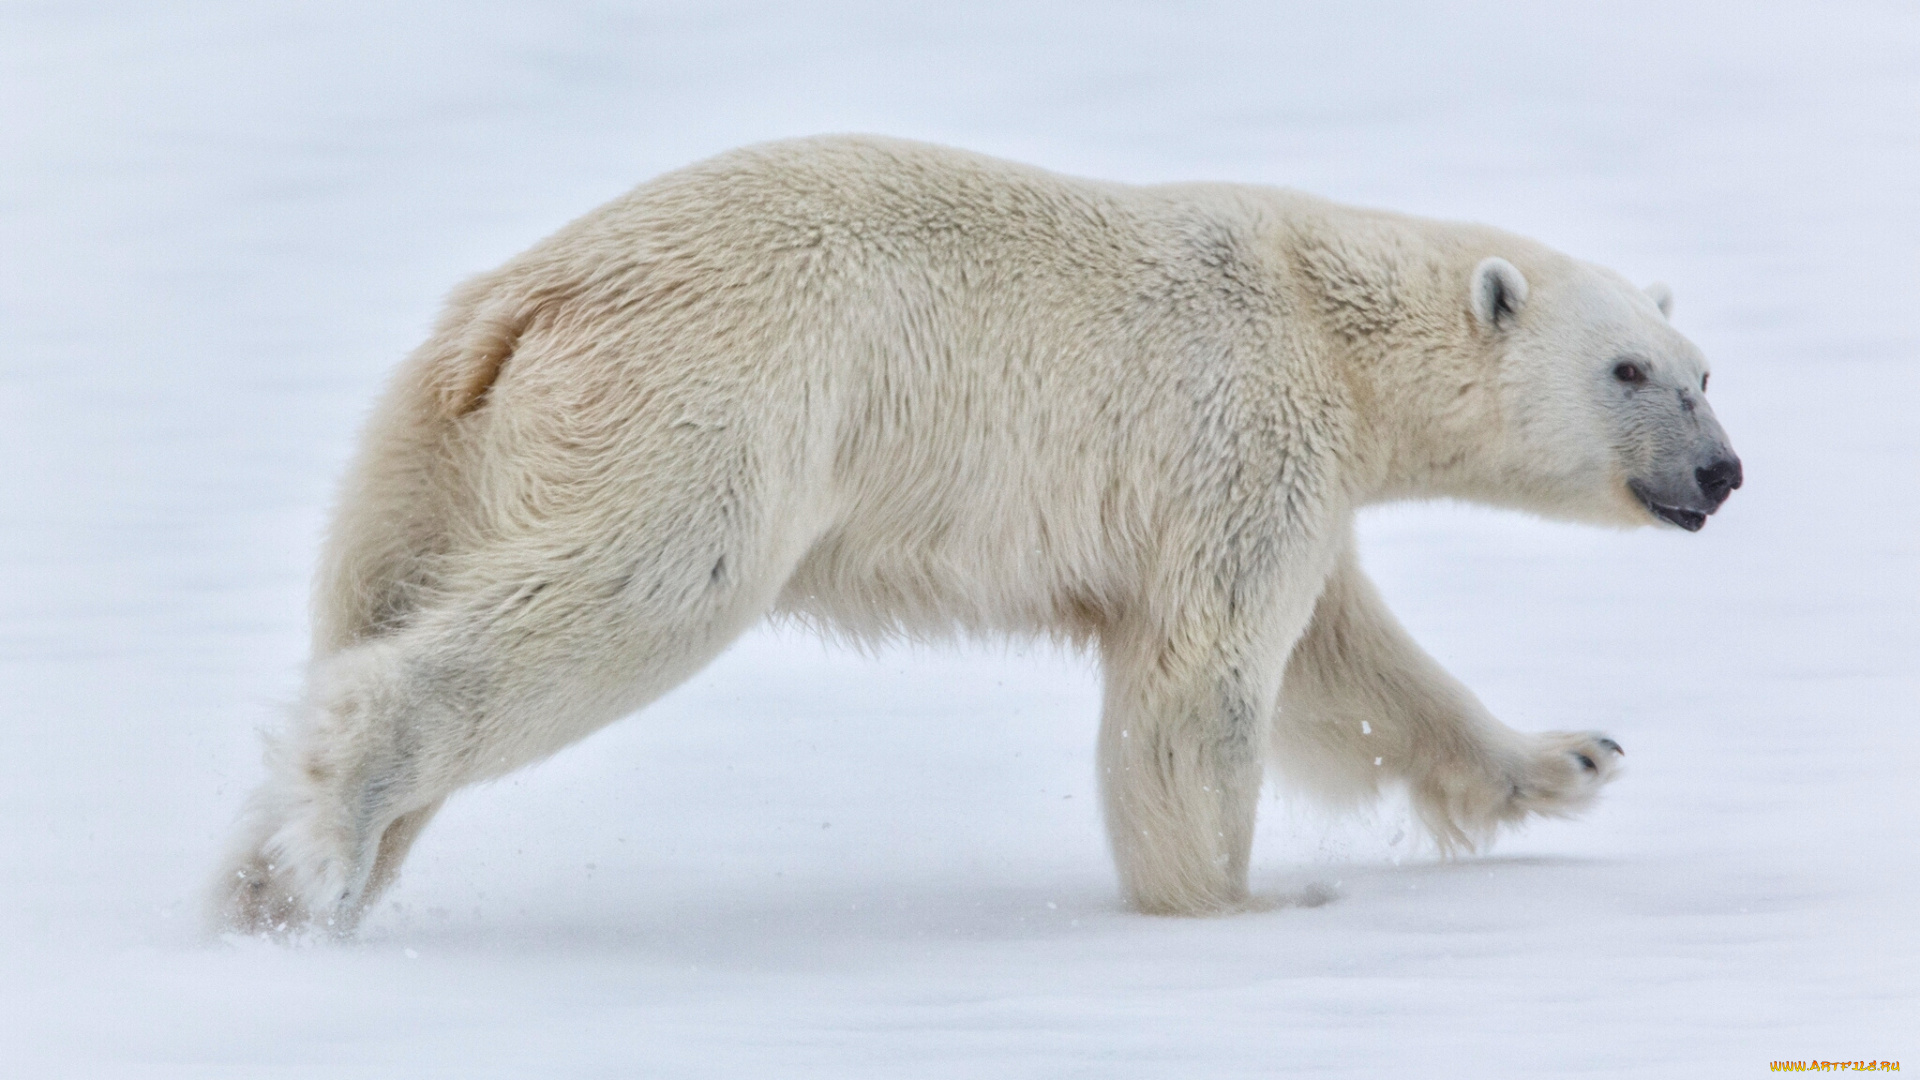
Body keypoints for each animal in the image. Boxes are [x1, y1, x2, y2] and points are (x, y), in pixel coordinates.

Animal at [211, 135, 1741, 936]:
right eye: (1630, 371)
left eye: (1704, 367)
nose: (1724, 473)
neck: (1330, 312)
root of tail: (528, 303)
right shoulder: (1241, 427)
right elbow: (1208, 678)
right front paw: (1243, 907)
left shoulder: (1283, 469)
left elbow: (1348, 670)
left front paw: (1569, 759)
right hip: (706, 406)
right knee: (627, 594)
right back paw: (331, 846)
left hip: (431, 447)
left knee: (373, 602)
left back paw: (266, 886)